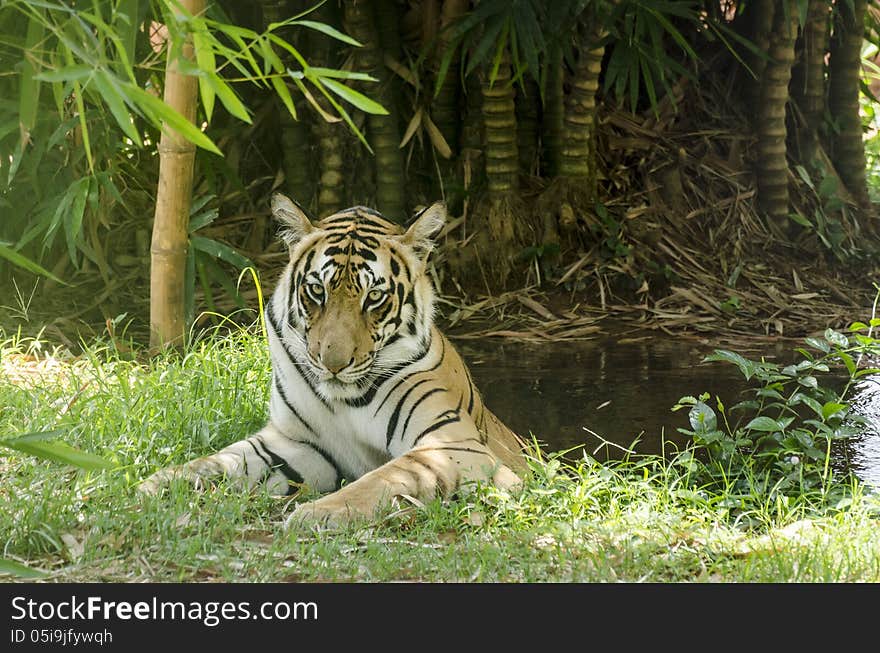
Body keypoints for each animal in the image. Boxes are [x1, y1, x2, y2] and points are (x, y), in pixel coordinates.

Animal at [136, 192, 524, 524]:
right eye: (316, 290)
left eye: (374, 297)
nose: (333, 364)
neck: (345, 401)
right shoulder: (294, 443)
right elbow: (219, 461)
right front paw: (154, 484)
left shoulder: (454, 444)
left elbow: (387, 476)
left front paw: (315, 513)